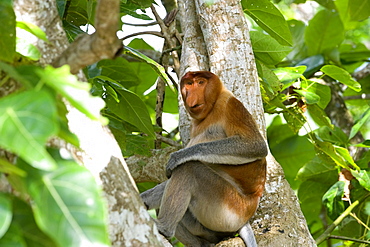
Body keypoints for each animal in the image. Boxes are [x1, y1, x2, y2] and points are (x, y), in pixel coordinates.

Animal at [140, 70, 268, 246]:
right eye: (189, 84)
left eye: (200, 82)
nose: (191, 95)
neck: (211, 109)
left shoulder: (230, 105)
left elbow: (255, 145)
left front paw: (179, 156)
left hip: (228, 208)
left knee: (189, 169)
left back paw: (163, 227)